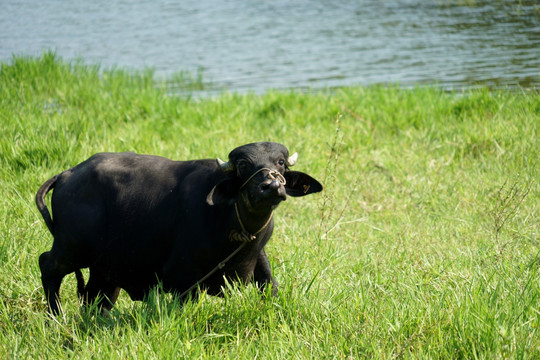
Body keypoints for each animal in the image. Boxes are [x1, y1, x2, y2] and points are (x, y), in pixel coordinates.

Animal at [35, 142, 322, 314]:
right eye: (243, 165)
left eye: (280, 163)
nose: (271, 186)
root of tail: (67, 175)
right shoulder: (184, 278)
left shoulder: (259, 257)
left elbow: (270, 285)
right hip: (69, 249)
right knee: (47, 266)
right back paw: (55, 315)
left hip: (104, 266)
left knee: (97, 296)